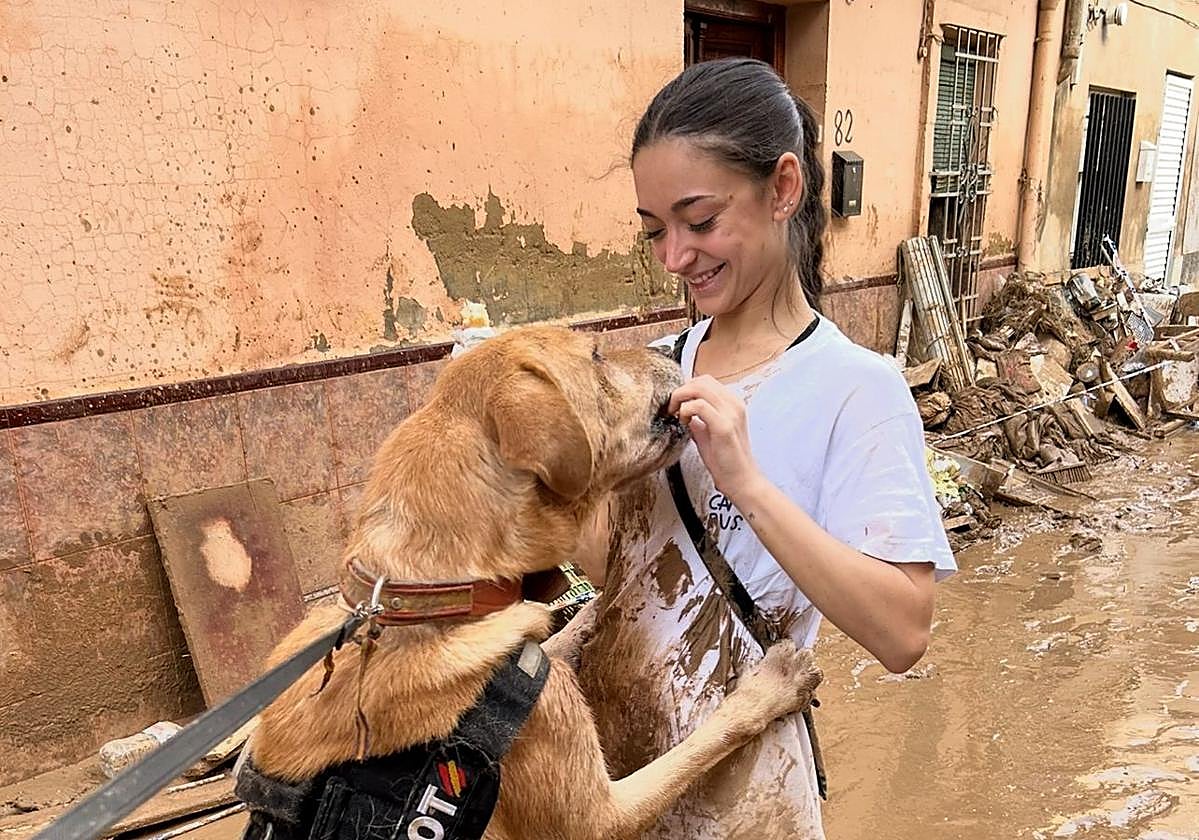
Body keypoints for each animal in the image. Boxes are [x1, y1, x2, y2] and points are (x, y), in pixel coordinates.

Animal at [244, 325, 822, 839]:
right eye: (596, 356)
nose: (671, 351)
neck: (434, 600)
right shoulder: (598, 816)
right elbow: (705, 740)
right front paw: (772, 688)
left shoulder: (531, 658)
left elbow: (554, 636)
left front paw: (585, 614)